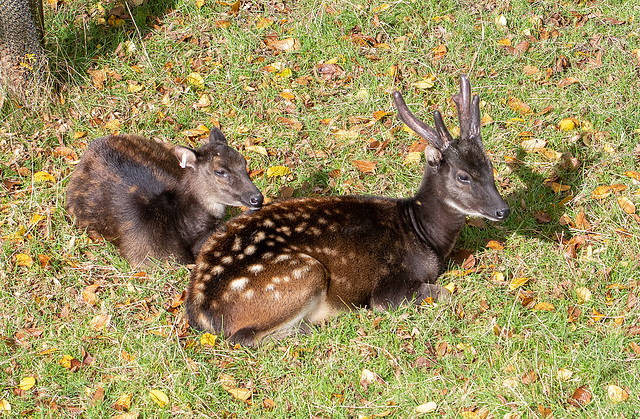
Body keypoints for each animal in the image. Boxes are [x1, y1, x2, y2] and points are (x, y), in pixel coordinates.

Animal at [185, 74, 510, 346]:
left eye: (489, 165)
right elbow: (440, 293)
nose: (502, 210)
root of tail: (201, 311)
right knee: (244, 337)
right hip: (301, 273)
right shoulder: (389, 289)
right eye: (462, 176)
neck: (423, 234)